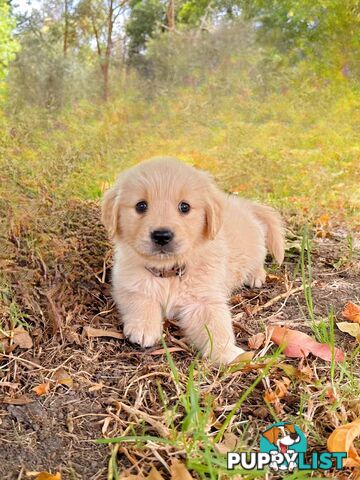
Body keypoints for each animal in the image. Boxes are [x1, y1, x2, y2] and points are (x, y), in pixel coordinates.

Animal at [101, 158, 284, 364]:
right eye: (141, 206)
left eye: (184, 207)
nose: (162, 236)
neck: (168, 273)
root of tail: (244, 204)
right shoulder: (127, 283)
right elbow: (141, 299)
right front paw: (144, 327)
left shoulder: (205, 299)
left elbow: (216, 326)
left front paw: (226, 351)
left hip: (254, 246)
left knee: (259, 259)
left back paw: (256, 276)